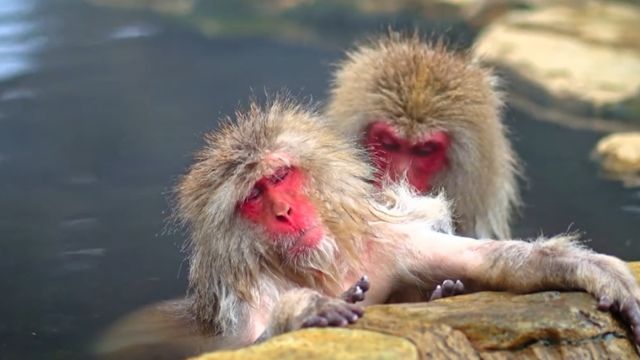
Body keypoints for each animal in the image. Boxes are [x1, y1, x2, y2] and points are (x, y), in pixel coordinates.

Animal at [97, 96, 640, 360]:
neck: (323, 266)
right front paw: (305, 312)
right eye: (254, 196)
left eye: (281, 176)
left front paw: (590, 268)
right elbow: (245, 345)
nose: (284, 212)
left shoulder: (389, 243)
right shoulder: (251, 292)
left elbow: (491, 260)